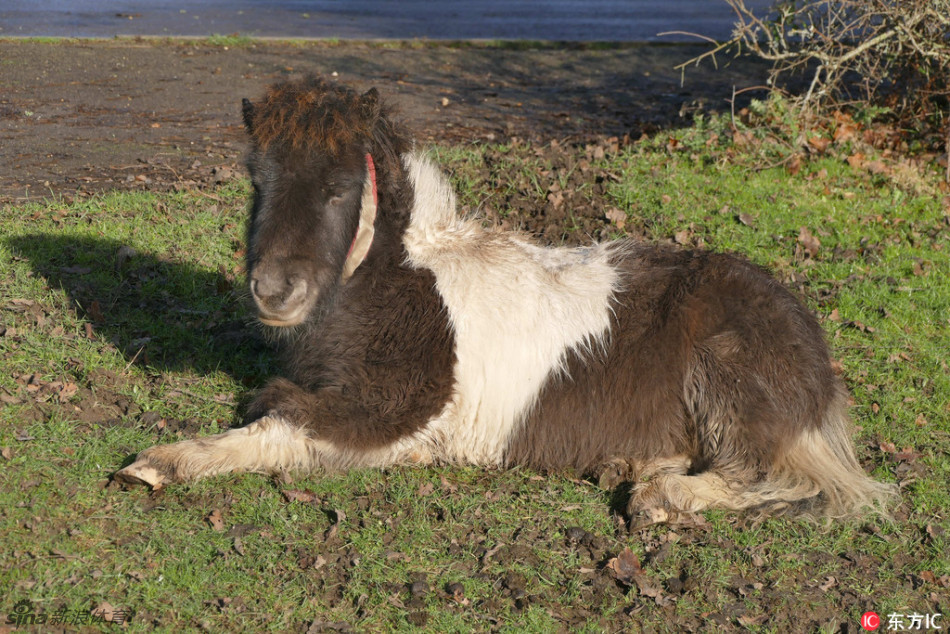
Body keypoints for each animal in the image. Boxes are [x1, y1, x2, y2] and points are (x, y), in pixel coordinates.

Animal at [115, 75, 896, 524]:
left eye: (340, 188)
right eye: (258, 181)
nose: (275, 292)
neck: (394, 287)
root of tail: (814, 354)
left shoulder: (390, 416)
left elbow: (273, 426)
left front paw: (158, 462)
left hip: (727, 380)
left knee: (779, 479)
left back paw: (663, 498)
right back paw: (639, 468)